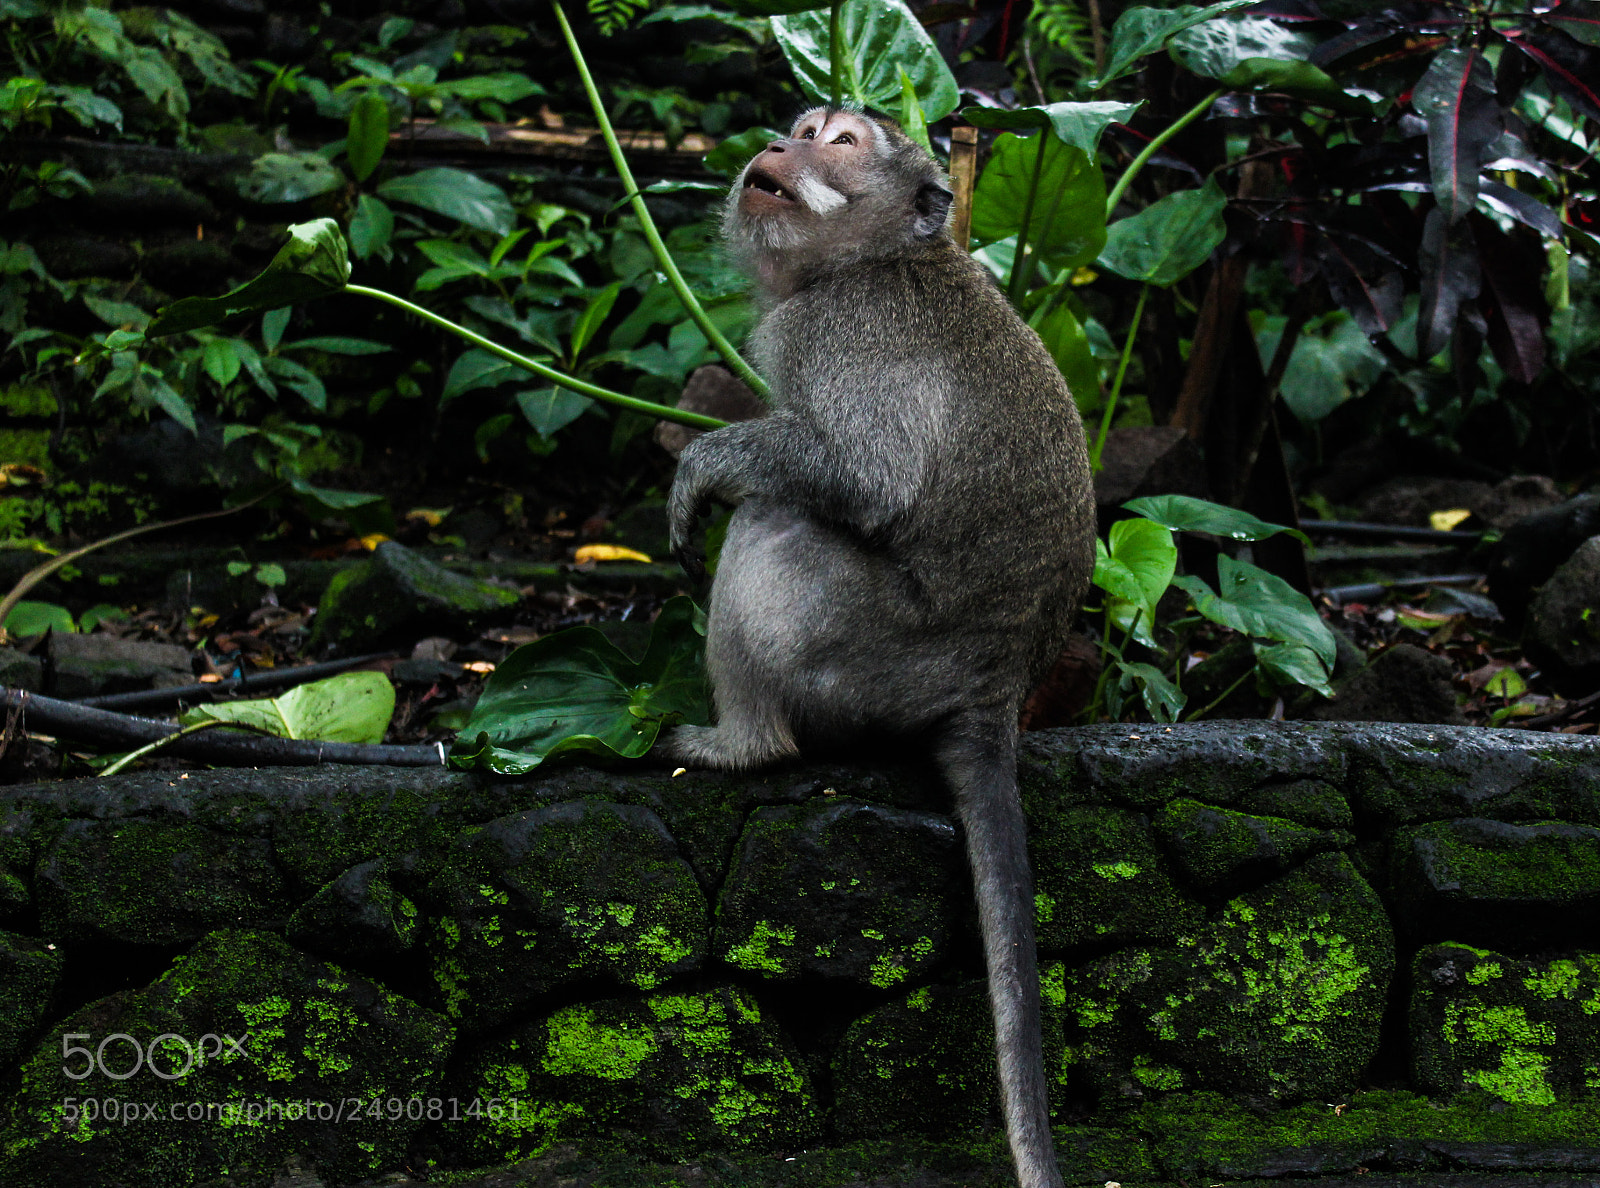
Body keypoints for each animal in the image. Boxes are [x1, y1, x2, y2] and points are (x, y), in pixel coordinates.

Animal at [659, 107, 1095, 1188]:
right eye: (802, 125)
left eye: (842, 141)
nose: (780, 146)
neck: (880, 257)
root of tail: (994, 693)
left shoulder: (839, 332)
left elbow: (863, 478)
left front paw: (702, 463)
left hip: (869, 658)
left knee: (777, 519)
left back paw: (743, 743)